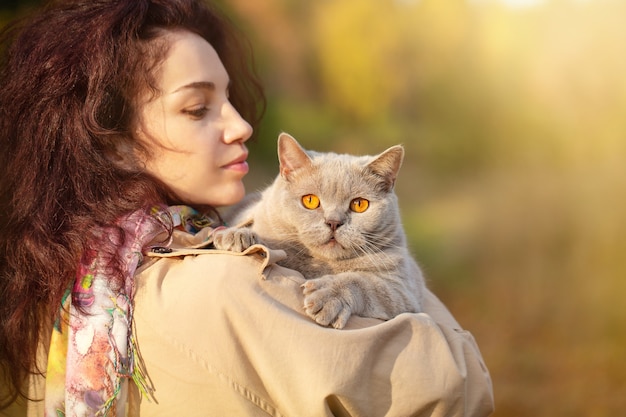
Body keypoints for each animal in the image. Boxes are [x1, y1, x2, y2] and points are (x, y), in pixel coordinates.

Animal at [213, 133, 424, 328]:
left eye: (359, 204)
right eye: (310, 200)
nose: (334, 222)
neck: (321, 265)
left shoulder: (403, 290)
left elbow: (363, 282)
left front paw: (328, 297)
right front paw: (236, 236)